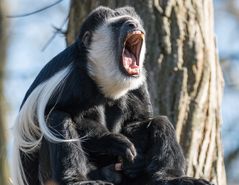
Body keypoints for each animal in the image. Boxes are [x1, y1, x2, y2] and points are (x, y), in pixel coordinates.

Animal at [12, 5, 212, 185]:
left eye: (133, 21)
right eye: (118, 24)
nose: (133, 24)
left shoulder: (139, 83)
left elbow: (137, 121)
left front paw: (136, 160)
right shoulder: (71, 81)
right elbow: (68, 118)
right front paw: (115, 141)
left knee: (160, 122)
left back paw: (170, 178)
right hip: (47, 174)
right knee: (57, 119)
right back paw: (80, 180)